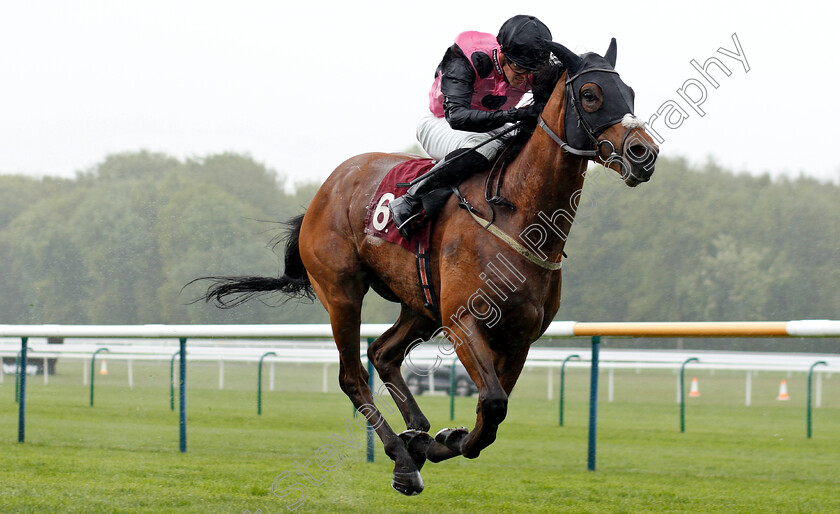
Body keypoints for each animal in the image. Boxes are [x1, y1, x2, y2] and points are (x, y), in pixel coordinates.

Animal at [195, 40, 656, 492]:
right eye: (591, 95)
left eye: (630, 93)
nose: (643, 153)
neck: (517, 215)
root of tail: (324, 191)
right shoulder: (462, 321)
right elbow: (492, 404)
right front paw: (433, 442)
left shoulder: (520, 336)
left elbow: (490, 415)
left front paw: (437, 440)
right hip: (342, 293)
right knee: (353, 376)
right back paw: (402, 460)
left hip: (420, 305)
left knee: (383, 354)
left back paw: (414, 433)